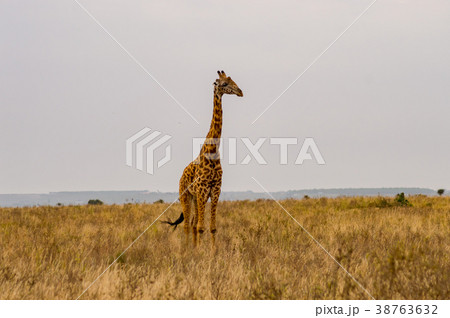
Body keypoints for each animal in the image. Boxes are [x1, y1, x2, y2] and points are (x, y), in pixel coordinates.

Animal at [163, 71, 243, 245]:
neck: (212, 151)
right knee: (187, 225)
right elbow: (201, 227)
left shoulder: (215, 189)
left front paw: (213, 252)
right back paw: (186, 249)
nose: (240, 92)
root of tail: (181, 176)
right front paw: (200, 251)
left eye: (233, 80)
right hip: (186, 196)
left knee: (192, 223)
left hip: (196, 198)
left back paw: (192, 248)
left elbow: (212, 227)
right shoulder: (202, 189)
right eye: (224, 84)